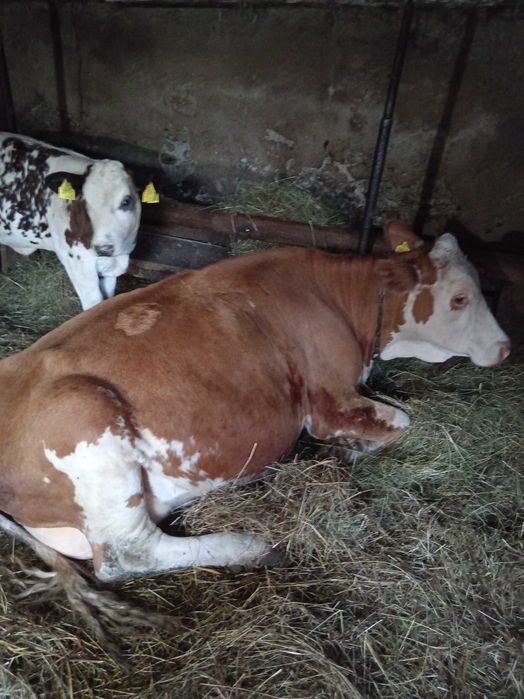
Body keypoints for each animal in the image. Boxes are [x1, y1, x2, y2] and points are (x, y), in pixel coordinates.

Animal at [0, 133, 142, 310]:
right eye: (85, 202)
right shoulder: (77, 262)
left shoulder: (110, 269)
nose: (104, 248)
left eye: (126, 201)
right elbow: (94, 305)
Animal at [0, 220, 510, 636]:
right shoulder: (330, 400)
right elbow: (402, 422)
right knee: (129, 554)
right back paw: (250, 547)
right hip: (87, 422)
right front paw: (348, 448)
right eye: (460, 298)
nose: (506, 347)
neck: (345, 303)